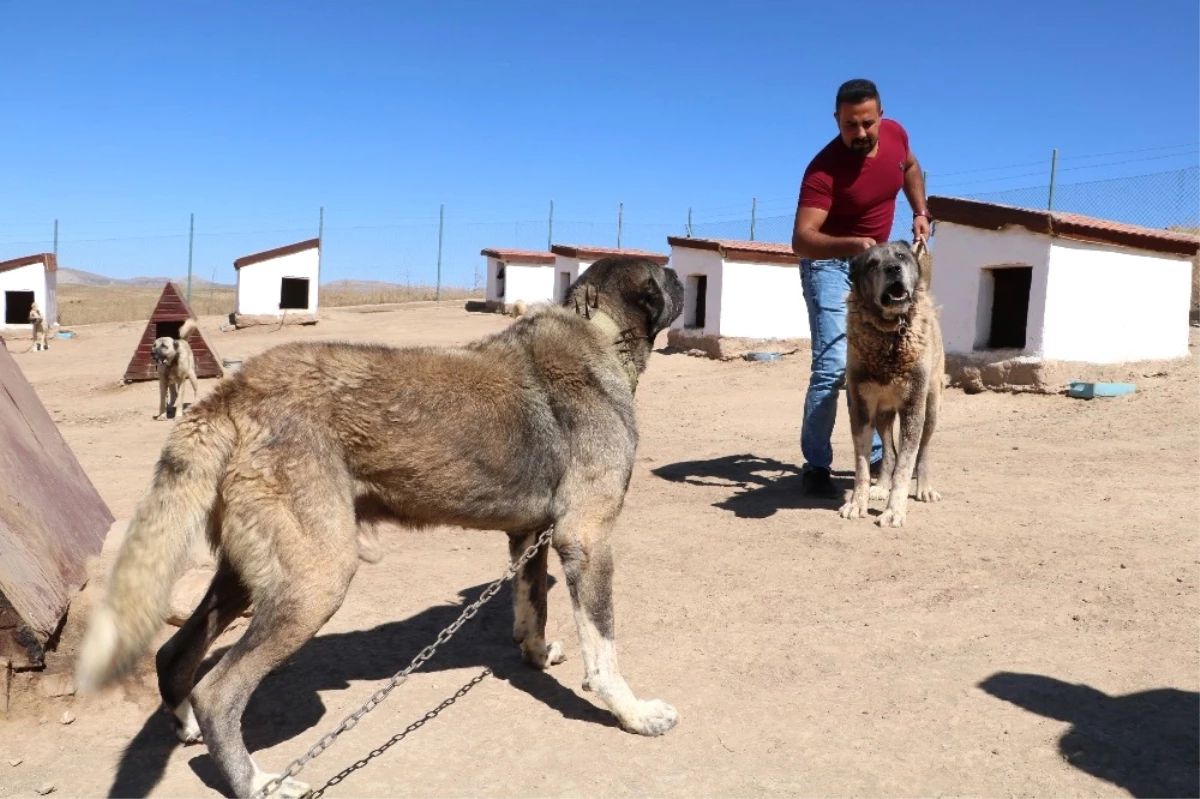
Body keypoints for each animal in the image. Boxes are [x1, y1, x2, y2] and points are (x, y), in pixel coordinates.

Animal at [75, 255, 686, 796]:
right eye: (670, 275)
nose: (684, 280)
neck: (597, 331)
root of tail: (231, 395)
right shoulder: (586, 538)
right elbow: (604, 653)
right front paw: (634, 715)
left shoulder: (528, 537)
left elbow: (530, 609)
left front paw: (536, 656)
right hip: (316, 581)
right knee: (218, 691)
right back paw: (259, 783)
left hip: (249, 572)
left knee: (174, 654)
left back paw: (186, 727)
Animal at [840, 239, 940, 525]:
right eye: (873, 263)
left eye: (901, 257)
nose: (893, 268)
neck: (891, 334)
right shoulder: (861, 408)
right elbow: (862, 465)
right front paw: (857, 503)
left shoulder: (913, 408)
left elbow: (905, 465)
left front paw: (894, 510)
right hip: (882, 414)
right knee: (888, 451)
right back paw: (881, 485)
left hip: (931, 408)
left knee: (923, 451)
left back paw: (925, 488)